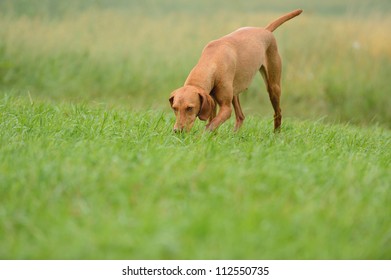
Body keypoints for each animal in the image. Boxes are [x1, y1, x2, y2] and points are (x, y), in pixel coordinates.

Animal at [168, 8, 304, 131]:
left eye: (190, 108)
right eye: (174, 108)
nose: (177, 131)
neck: (211, 61)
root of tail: (265, 30)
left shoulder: (226, 108)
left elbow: (210, 126)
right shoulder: (211, 101)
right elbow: (212, 122)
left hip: (273, 87)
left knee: (278, 112)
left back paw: (276, 134)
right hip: (235, 91)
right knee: (240, 116)